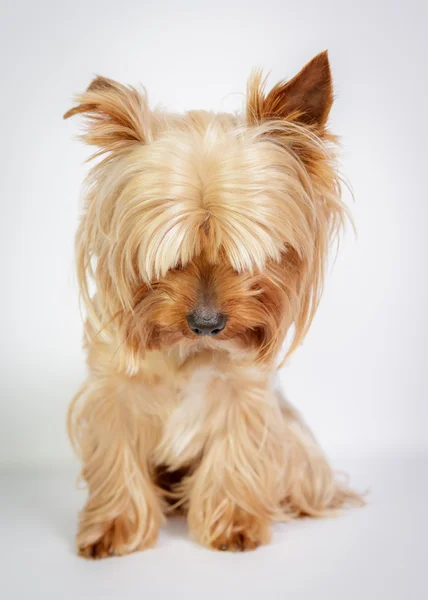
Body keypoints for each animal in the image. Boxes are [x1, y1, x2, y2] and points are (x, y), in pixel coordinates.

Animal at [65, 51, 362, 556]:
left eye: (247, 258)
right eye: (168, 260)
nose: (206, 324)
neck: (187, 349)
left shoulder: (244, 392)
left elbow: (234, 449)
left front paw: (235, 524)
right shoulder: (113, 390)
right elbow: (117, 453)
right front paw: (115, 527)